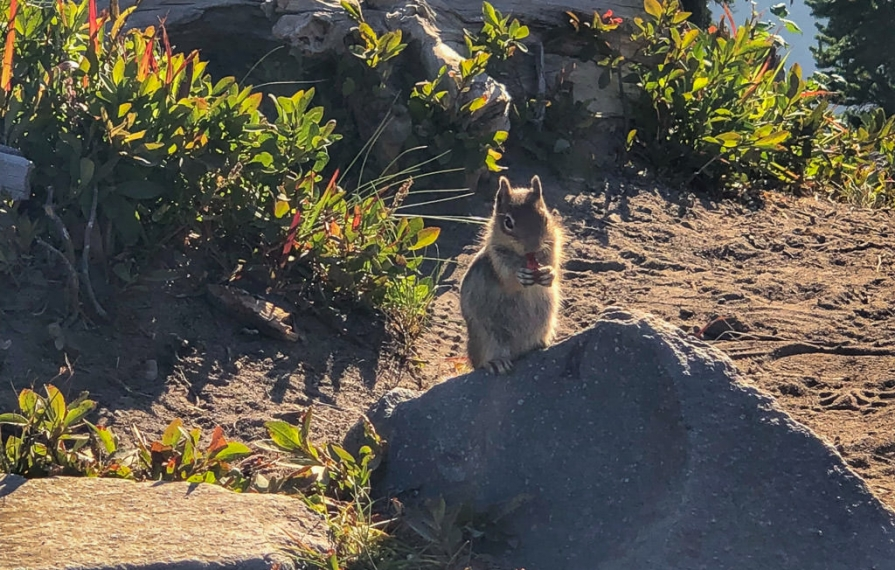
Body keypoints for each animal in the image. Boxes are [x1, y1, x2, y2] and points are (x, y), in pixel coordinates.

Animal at [459, 174, 564, 374]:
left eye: (545, 218)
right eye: (508, 223)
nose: (533, 246)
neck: (525, 258)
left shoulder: (553, 246)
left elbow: (554, 265)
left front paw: (548, 273)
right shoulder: (497, 258)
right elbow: (508, 277)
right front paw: (519, 276)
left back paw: (541, 344)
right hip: (487, 339)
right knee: (484, 360)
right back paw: (496, 363)